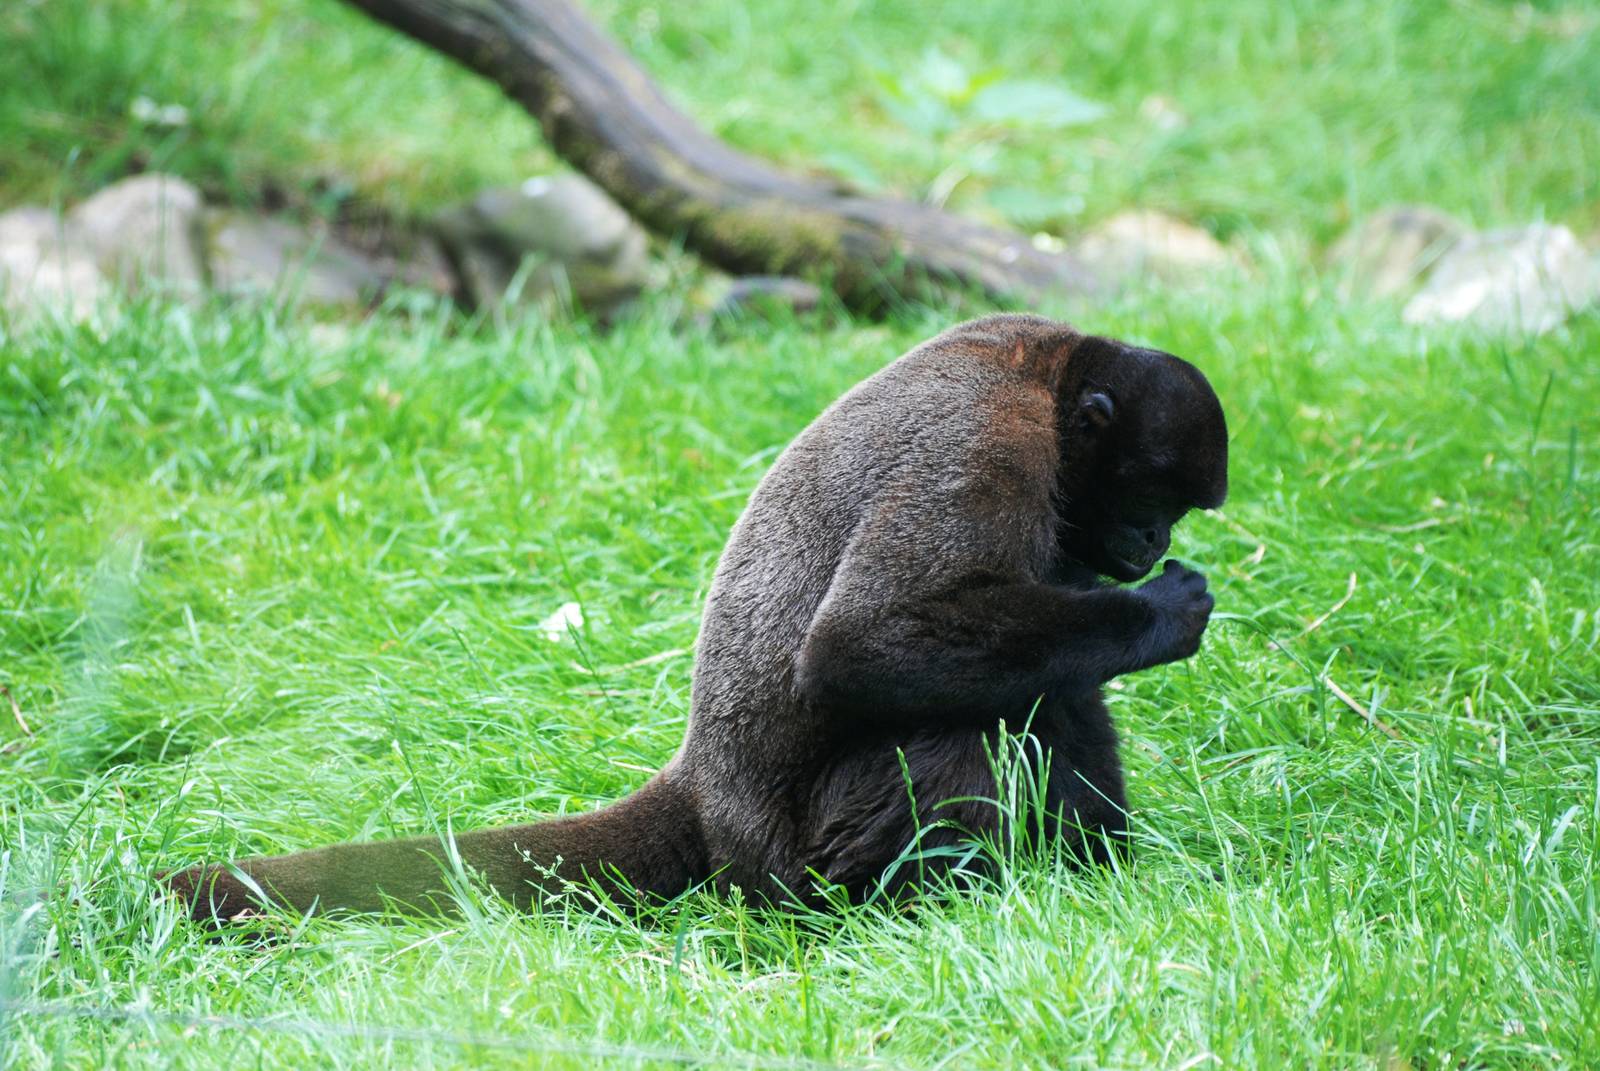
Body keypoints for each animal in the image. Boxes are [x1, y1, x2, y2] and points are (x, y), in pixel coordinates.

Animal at [162, 313, 1228, 923]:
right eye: (1153, 497)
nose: (1148, 542)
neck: (1051, 377)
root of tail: (706, 791)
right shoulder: (992, 443)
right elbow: (861, 644)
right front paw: (1164, 613)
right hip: (798, 858)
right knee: (961, 730)